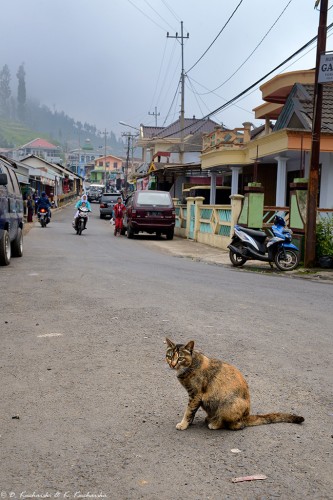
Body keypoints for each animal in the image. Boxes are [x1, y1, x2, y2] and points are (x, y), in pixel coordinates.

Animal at [164, 338, 304, 432]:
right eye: (169, 356)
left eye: (180, 358)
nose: (172, 364)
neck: (191, 365)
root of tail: (246, 416)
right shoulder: (195, 397)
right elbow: (191, 412)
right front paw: (189, 423)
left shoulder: (196, 395)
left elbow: (189, 411)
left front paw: (183, 424)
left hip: (227, 403)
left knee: (236, 426)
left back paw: (215, 424)